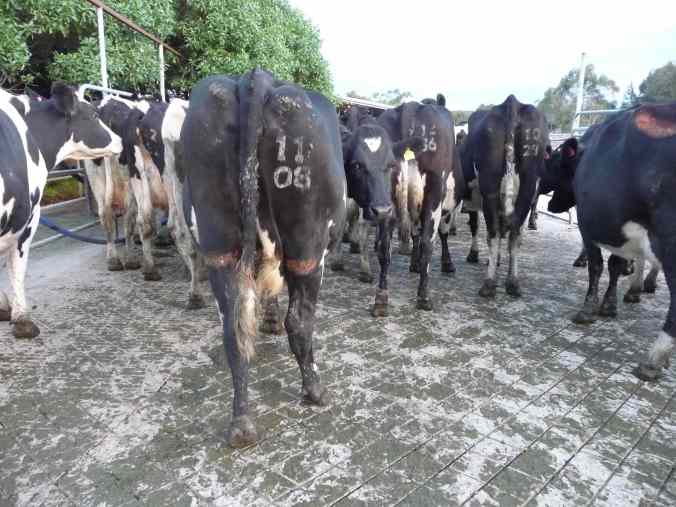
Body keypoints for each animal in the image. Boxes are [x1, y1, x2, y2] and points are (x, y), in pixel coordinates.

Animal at [180, 69, 346, 447]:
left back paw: (242, 423)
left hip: (219, 248)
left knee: (234, 331)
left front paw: (268, 318)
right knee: (299, 321)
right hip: (308, 249)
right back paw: (315, 390)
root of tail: (256, 78)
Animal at [461, 96, 549, 298]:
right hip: (527, 189)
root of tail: (512, 103)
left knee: (495, 231)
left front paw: (474, 254)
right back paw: (512, 281)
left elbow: (477, 226)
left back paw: (489, 283)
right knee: (514, 233)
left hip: (489, 190)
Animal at [542, 111, 672, 381]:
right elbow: (614, 265)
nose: (539, 179)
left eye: (556, 161)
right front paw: (610, 305)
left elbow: (598, 266)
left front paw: (588, 309)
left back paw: (654, 359)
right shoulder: (618, 231)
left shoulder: (589, 225)